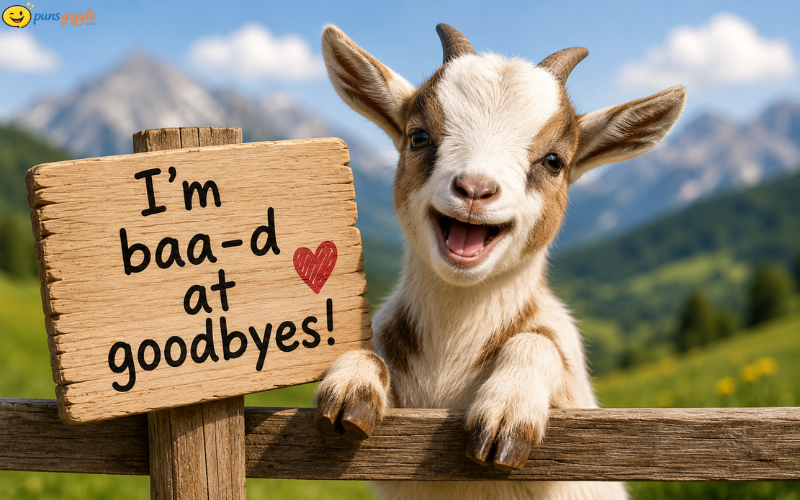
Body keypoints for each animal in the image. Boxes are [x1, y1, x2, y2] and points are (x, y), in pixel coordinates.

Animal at [314, 23, 685, 500]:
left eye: (554, 161)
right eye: (419, 137)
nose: (475, 189)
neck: (451, 353)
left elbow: (537, 343)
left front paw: (507, 414)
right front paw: (350, 385)